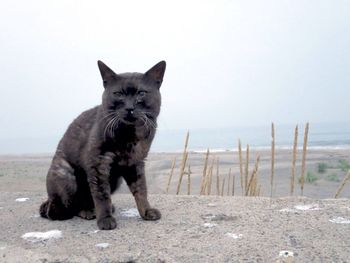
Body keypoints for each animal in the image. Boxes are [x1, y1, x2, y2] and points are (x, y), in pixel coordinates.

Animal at [40, 59, 166, 231]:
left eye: (141, 93)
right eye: (118, 94)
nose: (130, 108)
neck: (129, 135)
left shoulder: (136, 163)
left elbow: (141, 190)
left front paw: (146, 212)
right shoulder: (99, 163)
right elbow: (101, 195)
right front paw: (105, 219)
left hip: (116, 180)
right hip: (65, 175)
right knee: (61, 210)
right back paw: (88, 212)